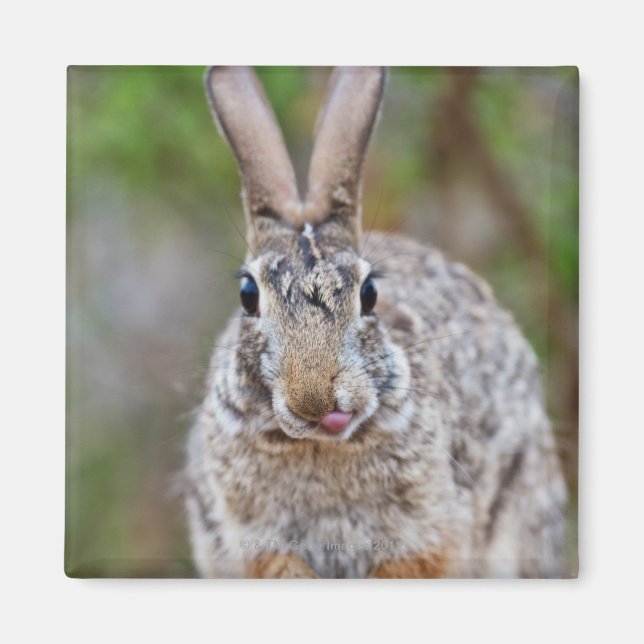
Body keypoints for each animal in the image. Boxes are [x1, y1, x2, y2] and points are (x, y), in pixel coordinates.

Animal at [185, 66, 568, 578]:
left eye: (369, 294)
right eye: (248, 296)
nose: (316, 400)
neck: (324, 445)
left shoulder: (432, 535)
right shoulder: (250, 542)